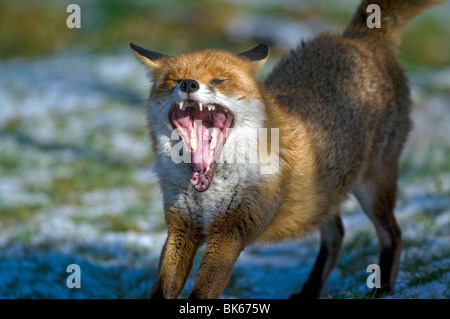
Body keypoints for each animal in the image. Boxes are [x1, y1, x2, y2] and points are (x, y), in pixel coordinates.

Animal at [129, 0, 442, 300]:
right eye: (173, 80)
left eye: (219, 80)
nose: (188, 84)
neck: (210, 188)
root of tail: (356, 36)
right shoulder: (182, 226)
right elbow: (162, 287)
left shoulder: (231, 230)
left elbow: (202, 290)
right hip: (321, 200)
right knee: (337, 235)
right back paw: (310, 292)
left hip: (373, 190)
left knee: (393, 235)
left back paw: (383, 290)